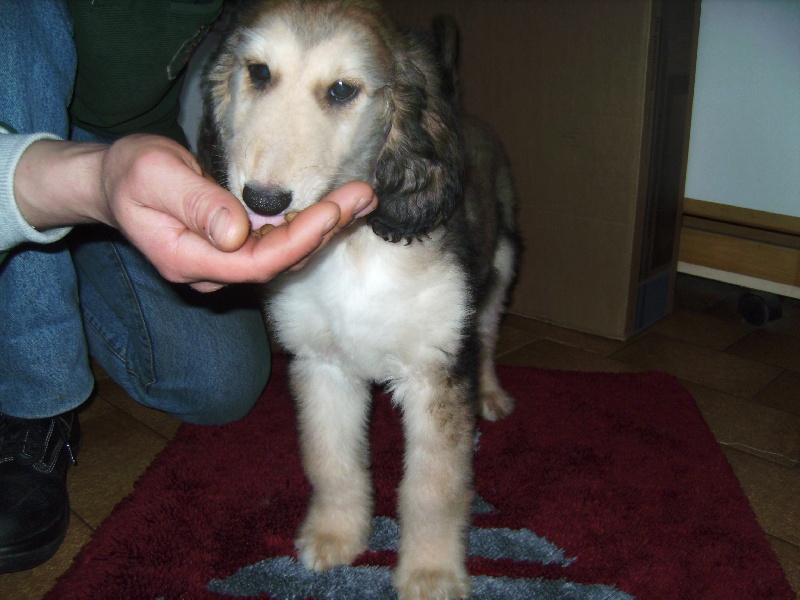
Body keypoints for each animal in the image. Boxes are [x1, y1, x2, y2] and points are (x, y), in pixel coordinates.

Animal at [198, 1, 518, 597]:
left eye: (342, 90)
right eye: (258, 72)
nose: (263, 200)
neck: (354, 250)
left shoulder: (434, 372)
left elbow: (434, 488)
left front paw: (431, 572)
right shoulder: (321, 365)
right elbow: (331, 462)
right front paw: (335, 536)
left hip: (500, 267)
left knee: (486, 336)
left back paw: (489, 395)